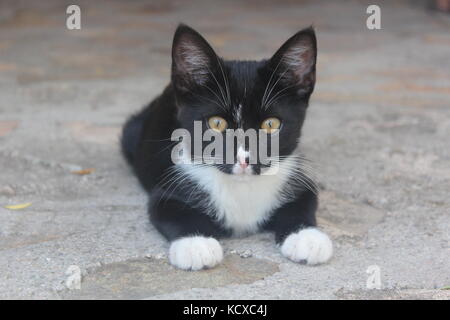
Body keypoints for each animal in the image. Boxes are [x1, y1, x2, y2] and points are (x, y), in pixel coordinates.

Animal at [121, 24, 332, 270]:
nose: (243, 159)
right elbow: (170, 210)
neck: (242, 188)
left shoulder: (297, 178)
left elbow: (304, 202)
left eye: (271, 125)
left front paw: (307, 238)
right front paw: (196, 244)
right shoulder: (168, 186)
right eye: (216, 123)